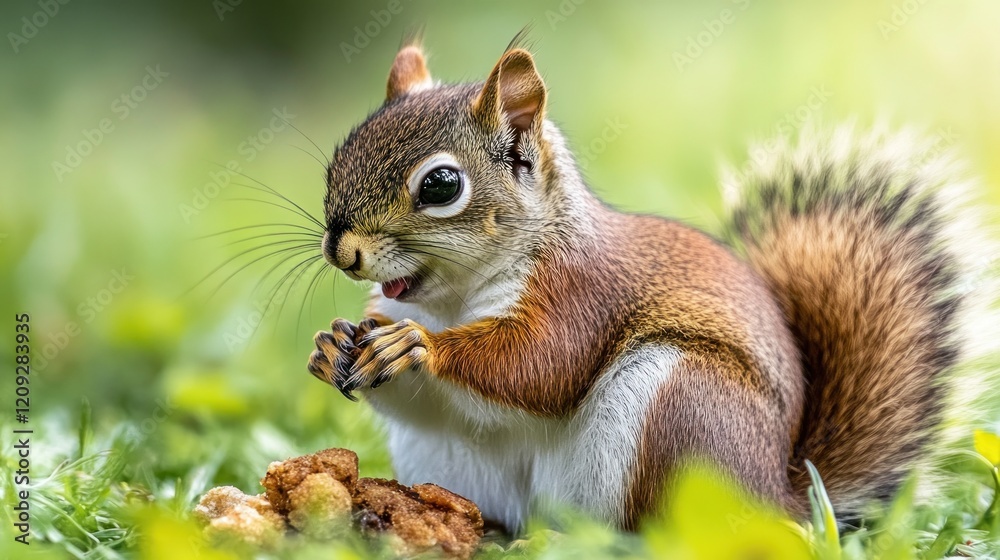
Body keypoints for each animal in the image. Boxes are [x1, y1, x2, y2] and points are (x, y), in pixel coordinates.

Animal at [305, 40, 994, 532]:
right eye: (340, 155)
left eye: (441, 185)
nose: (342, 250)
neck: (453, 297)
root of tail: (778, 501)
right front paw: (331, 346)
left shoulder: (580, 292)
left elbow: (541, 364)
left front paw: (417, 346)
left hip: (681, 407)